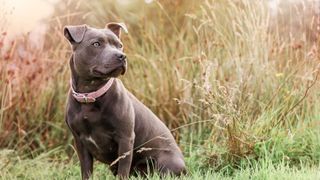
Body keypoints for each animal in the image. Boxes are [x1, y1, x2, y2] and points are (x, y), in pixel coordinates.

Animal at [63, 23, 186, 179]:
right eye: (96, 44)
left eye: (120, 45)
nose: (122, 56)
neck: (90, 95)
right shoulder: (80, 142)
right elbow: (86, 171)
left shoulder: (125, 139)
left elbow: (123, 169)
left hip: (167, 162)